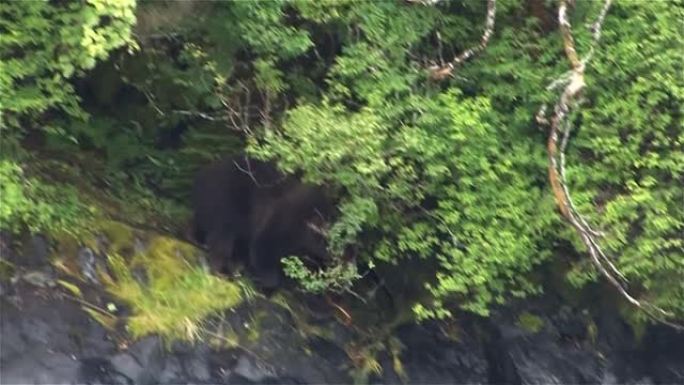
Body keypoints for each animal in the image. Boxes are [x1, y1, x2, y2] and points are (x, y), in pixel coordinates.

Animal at [191, 155, 336, 288]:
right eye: (326, 241)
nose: (332, 257)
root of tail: (202, 173)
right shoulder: (282, 219)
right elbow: (263, 247)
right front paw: (268, 280)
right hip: (226, 201)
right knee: (223, 237)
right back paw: (219, 269)